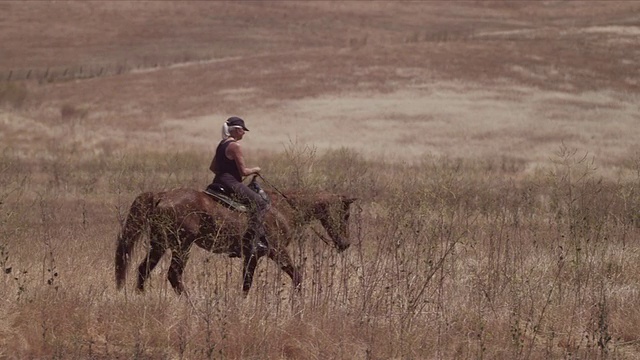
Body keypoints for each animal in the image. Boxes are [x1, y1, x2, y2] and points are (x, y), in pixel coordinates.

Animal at [113, 186, 358, 296]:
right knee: (173, 275)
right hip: (182, 247)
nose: (345, 243)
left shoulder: (252, 256)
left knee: (143, 270)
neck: (284, 210)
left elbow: (246, 284)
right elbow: (297, 275)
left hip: (160, 245)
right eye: (346, 214)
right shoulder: (277, 252)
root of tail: (161, 195)